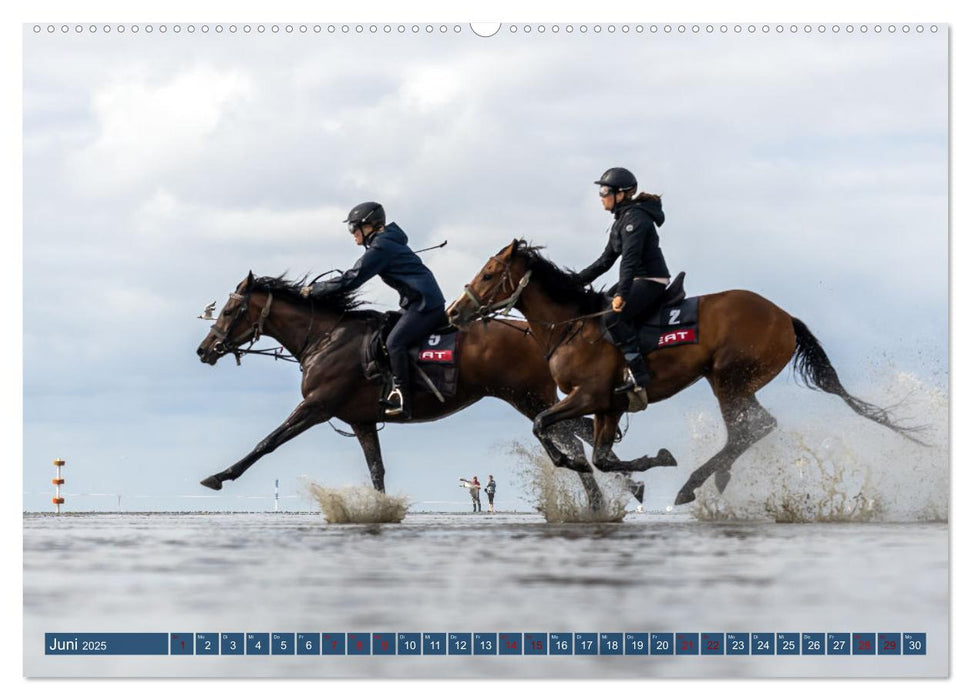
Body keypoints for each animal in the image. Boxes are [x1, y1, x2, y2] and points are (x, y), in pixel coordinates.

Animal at [196, 270, 660, 506]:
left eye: (232, 310)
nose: (205, 349)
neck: (325, 337)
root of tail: (534, 330)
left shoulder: (316, 405)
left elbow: (267, 442)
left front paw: (219, 476)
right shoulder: (361, 421)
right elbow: (377, 470)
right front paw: (380, 510)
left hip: (527, 397)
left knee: (572, 435)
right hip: (531, 398)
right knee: (578, 432)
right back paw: (619, 487)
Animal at [448, 241, 928, 504]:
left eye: (489, 273)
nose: (454, 312)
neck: (574, 325)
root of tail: (784, 316)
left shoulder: (587, 396)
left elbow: (543, 425)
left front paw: (573, 460)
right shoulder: (607, 405)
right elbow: (602, 458)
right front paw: (647, 465)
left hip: (729, 380)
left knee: (751, 428)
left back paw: (695, 483)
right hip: (732, 383)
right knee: (754, 428)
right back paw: (713, 478)